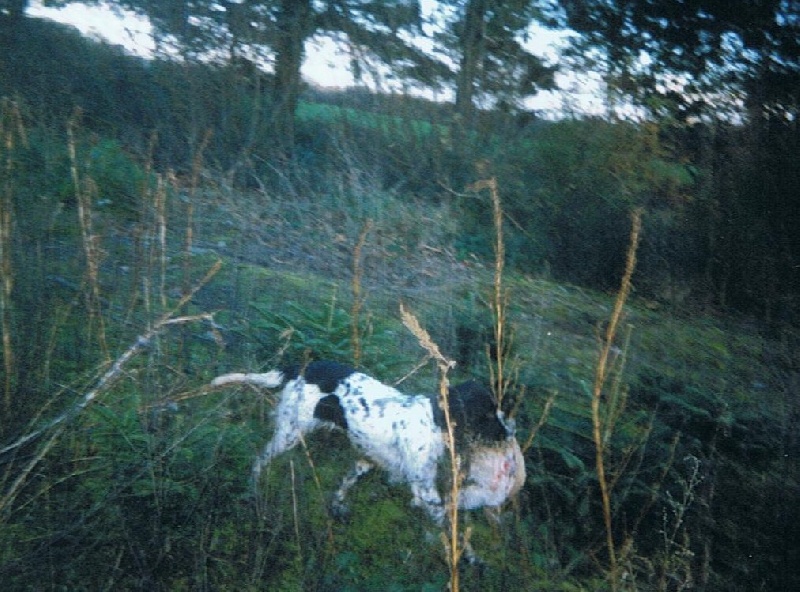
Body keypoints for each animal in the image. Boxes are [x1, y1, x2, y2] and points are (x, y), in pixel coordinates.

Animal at [212, 360, 524, 524]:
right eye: (487, 414)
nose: (510, 433)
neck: (433, 419)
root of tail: (302, 367)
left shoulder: (366, 459)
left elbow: (344, 485)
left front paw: (337, 507)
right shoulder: (423, 487)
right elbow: (443, 519)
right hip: (288, 434)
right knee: (258, 460)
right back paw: (252, 490)